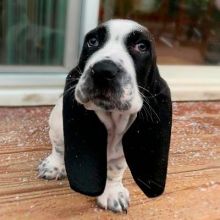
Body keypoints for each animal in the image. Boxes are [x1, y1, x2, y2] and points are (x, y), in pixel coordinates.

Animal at [38, 19, 172, 213]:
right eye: (92, 41)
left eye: (141, 46)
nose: (103, 70)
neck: (111, 118)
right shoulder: (60, 128)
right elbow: (59, 147)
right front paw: (54, 166)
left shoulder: (122, 151)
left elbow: (115, 170)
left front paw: (112, 193)